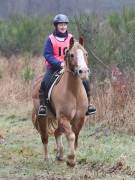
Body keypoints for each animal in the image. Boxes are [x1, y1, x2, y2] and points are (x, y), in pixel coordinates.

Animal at [31, 37, 89, 167]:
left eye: (86, 53)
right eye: (71, 55)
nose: (83, 72)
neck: (73, 92)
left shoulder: (80, 119)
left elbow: (75, 136)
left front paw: (72, 157)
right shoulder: (63, 117)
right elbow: (71, 135)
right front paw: (71, 159)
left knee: (57, 132)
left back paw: (60, 155)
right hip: (42, 117)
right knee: (45, 137)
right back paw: (47, 158)